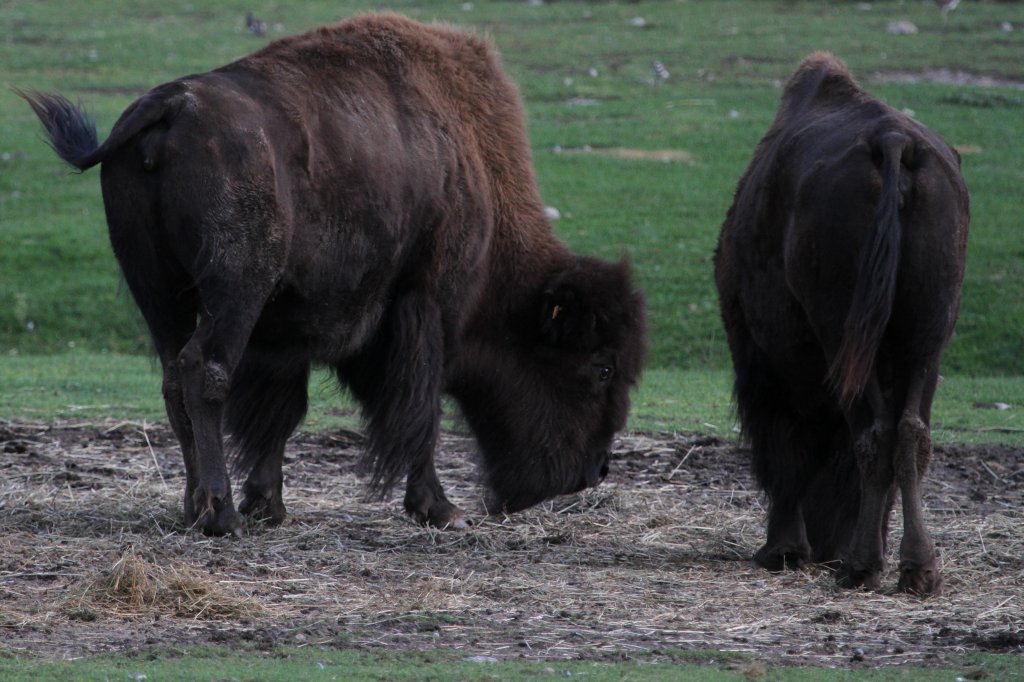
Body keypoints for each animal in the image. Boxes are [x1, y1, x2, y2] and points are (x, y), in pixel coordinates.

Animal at [19, 9, 647, 532]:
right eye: (601, 368)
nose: (594, 471)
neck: (469, 156)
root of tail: (173, 105)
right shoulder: (430, 304)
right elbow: (420, 406)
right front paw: (440, 510)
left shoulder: (284, 333)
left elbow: (281, 413)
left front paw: (270, 505)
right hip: (234, 288)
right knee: (206, 371)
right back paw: (220, 515)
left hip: (158, 291)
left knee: (175, 376)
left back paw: (194, 507)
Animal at [712, 53, 966, 593]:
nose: (826, 546)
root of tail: (892, 141)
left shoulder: (758, 358)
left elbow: (781, 448)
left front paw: (781, 549)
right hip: (925, 339)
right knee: (908, 434)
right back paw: (917, 570)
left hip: (842, 338)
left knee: (871, 434)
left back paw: (861, 566)